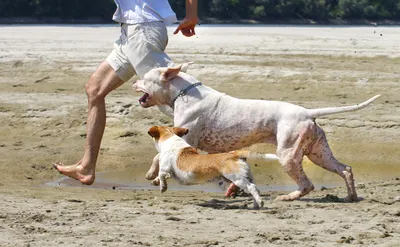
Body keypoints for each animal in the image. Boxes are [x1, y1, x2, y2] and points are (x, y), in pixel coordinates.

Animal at [145, 125, 280, 208]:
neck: (171, 139)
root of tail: (234, 154)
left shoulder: (165, 168)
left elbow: (162, 174)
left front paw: (162, 187)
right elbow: (160, 174)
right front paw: (155, 181)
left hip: (238, 179)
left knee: (252, 188)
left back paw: (260, 203)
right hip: (247, 177)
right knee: (255, 189)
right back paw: (256, 204)